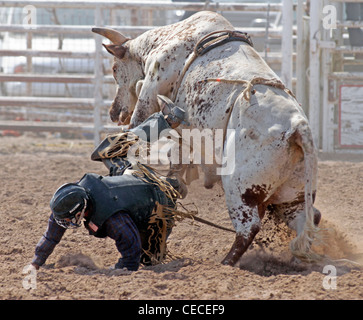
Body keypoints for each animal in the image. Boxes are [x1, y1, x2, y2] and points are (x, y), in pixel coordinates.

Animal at [92, 11, 322, 266]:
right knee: (306, 218)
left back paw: (226, 263)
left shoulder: (151, 87)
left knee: (249, 227)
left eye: (115, 69)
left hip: (240, 187)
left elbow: (140, 114)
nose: (114, 112)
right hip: (294, 194)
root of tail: (298, 127)